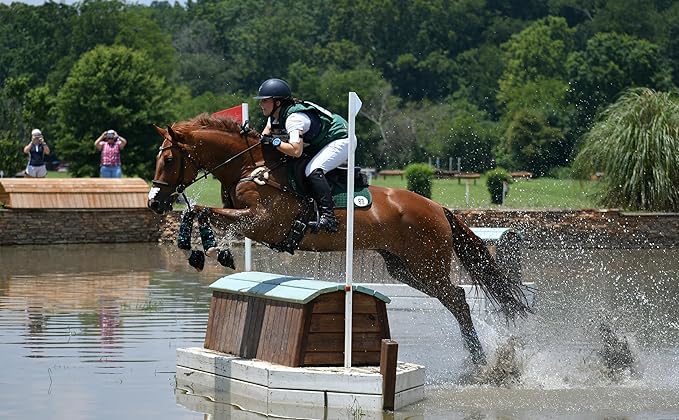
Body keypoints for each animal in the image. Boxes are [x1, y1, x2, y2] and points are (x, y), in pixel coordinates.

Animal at [148, 113, 531, 365]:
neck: (250, 167)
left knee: (458, 299)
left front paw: (203, 250)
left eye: (168, 159)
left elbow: (203, 213)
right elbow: (201, 214)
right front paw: (209, 250)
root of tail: (437, 206)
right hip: (405, 269)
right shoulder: (249, 220)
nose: (154, 202)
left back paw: (479, 360)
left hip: (428, 266)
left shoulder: (263, 222)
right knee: (452, 299)